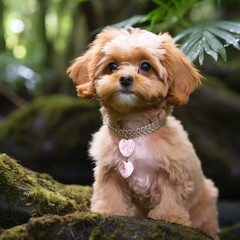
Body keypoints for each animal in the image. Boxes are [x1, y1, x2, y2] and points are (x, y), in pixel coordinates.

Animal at [67, 27, 219, 239]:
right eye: (112, 66)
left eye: (146, 66)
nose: (125, 78)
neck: (135, 129)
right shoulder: (109, 171)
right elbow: (110, 195)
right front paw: (108, 212)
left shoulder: (174, 173)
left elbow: (171, 198)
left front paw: (169, 218)